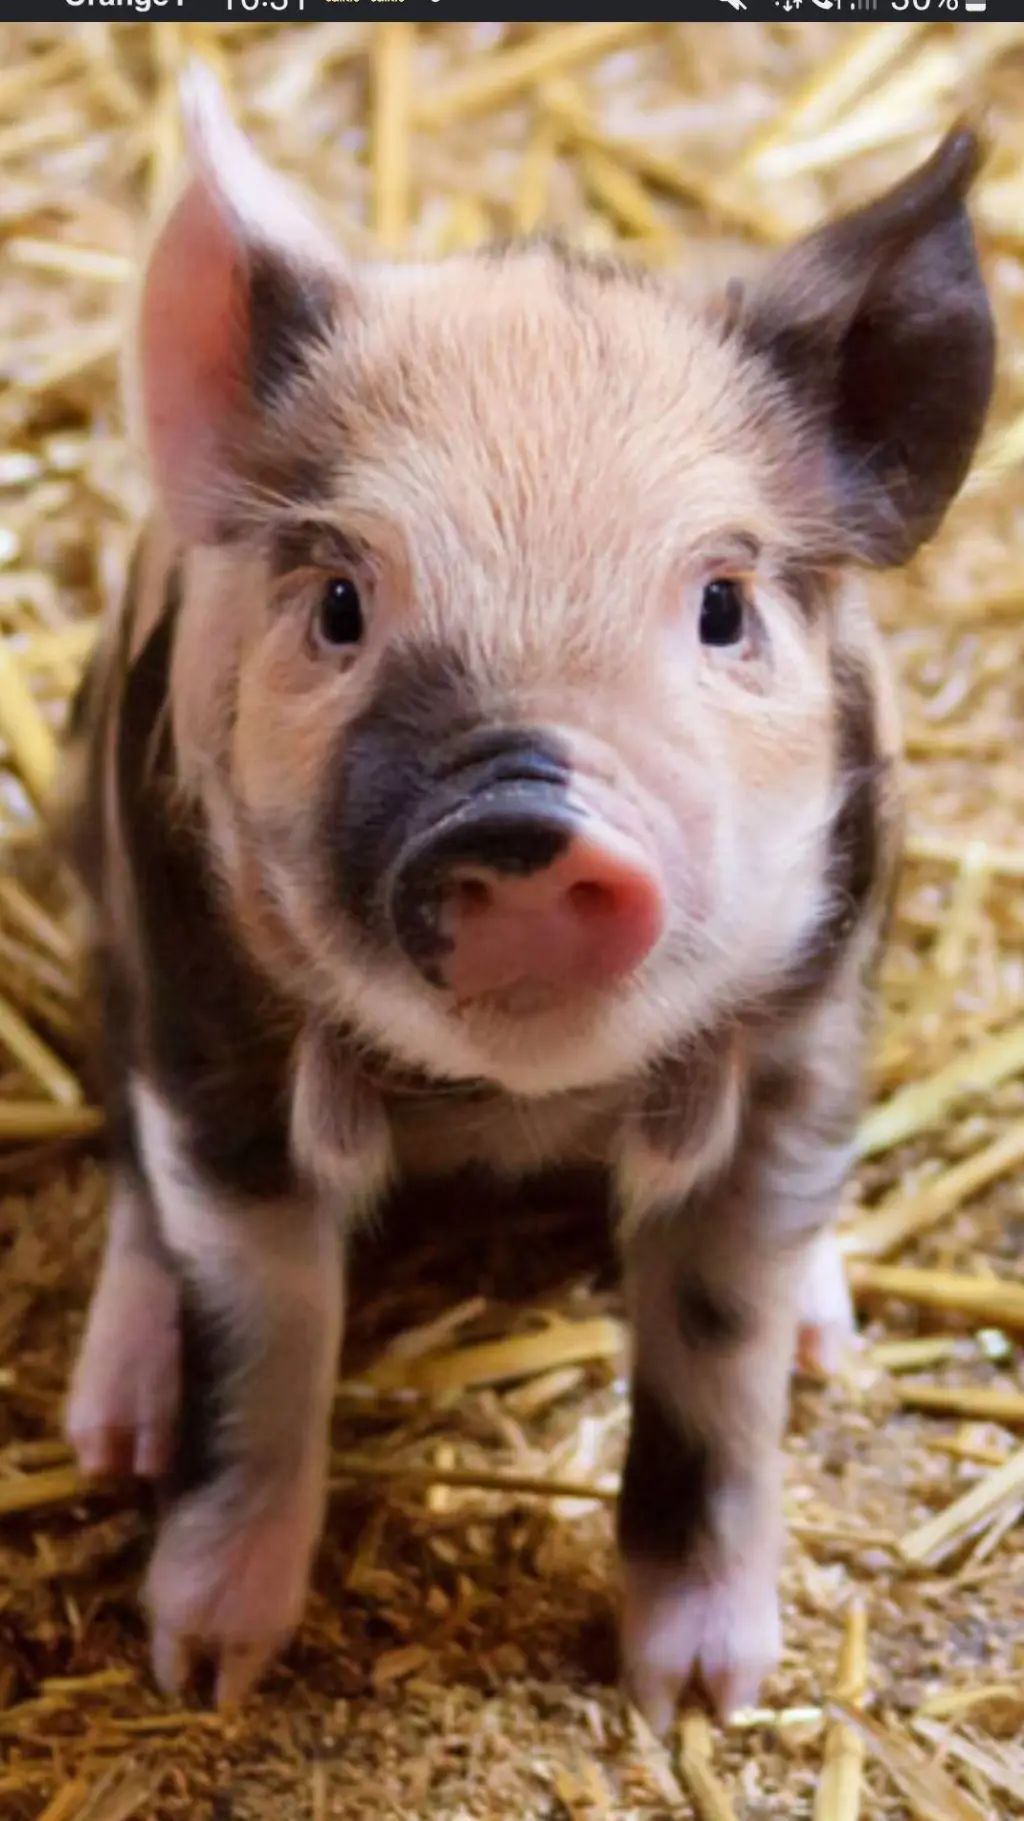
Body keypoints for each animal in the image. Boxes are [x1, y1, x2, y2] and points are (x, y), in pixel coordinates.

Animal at [54, 65, 995, 1726]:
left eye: (723, 607)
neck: (512, 1107)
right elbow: (265, 1326)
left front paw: (701, 1695)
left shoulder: (808, 1037)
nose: (522, 818)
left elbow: (721, 1347)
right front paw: (205, 1667)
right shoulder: (204, 1017)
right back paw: (111, 1432)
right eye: (341, 603)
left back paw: (833, 1343)